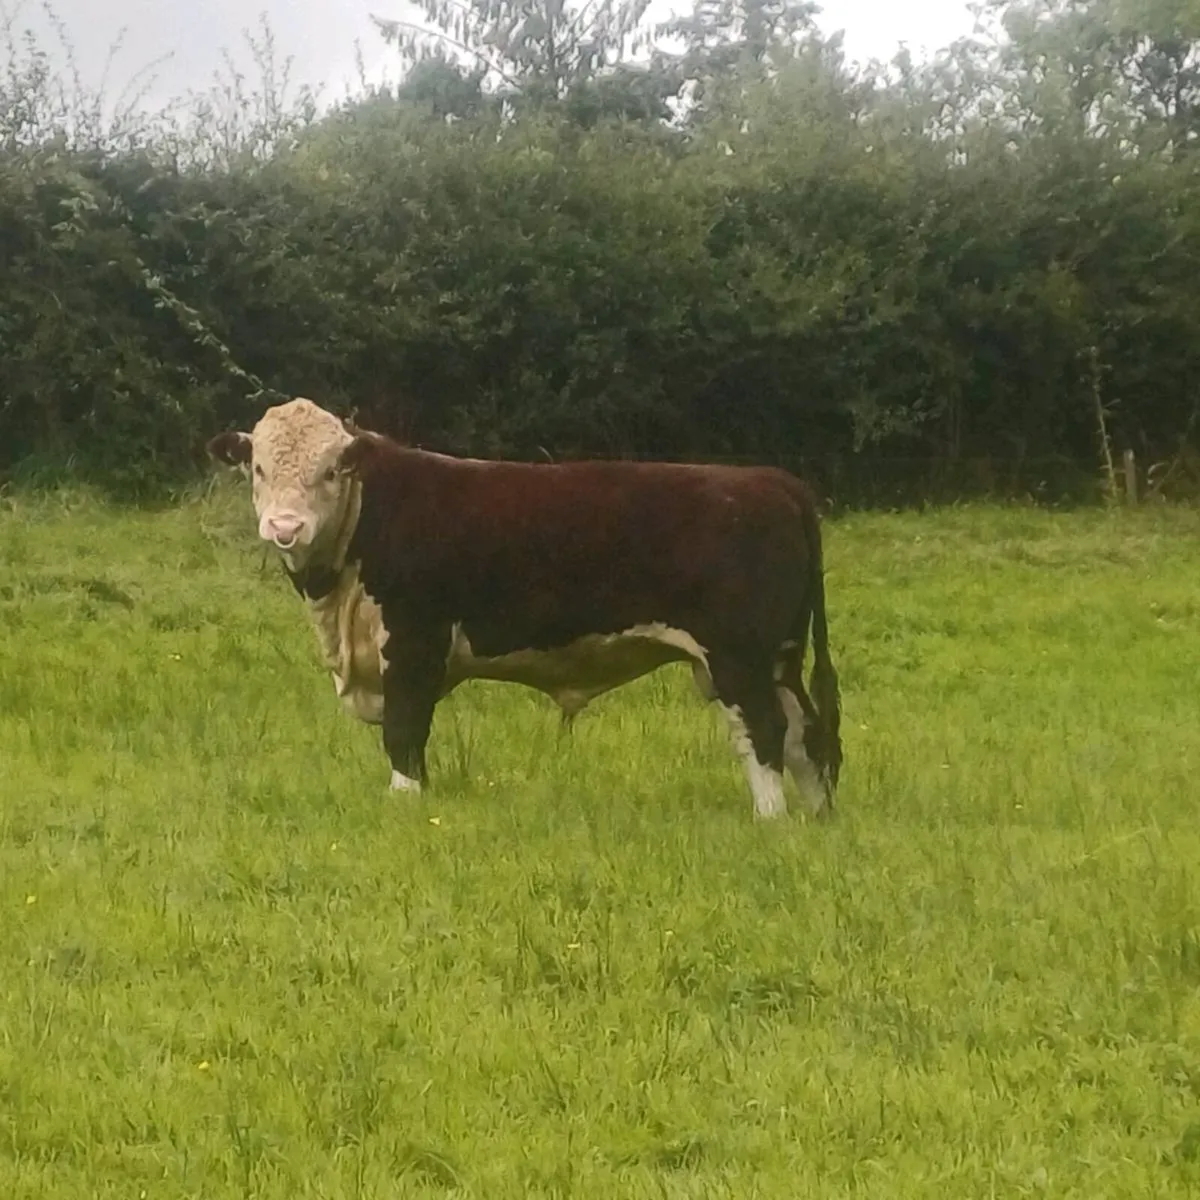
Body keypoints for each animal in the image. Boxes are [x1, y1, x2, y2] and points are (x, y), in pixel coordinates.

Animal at [207, 397, 842, 819]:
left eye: (330, 470)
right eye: (258, 468)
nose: (285, 528)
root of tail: (770, 480)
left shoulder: (414, 641)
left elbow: (405, 730)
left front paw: (405, 803)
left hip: (738, 655)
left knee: (764, 728)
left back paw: (770, 817)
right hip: (778, 655)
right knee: (805, 730)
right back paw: (814, 818)